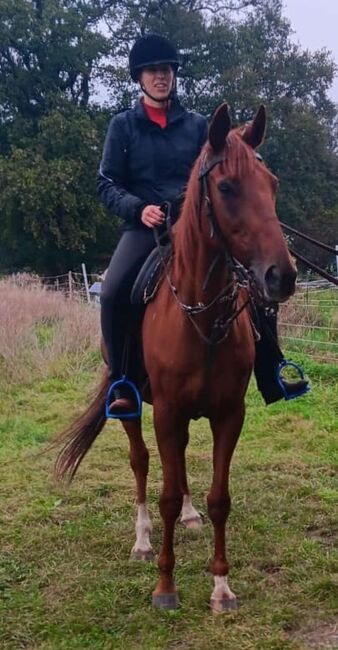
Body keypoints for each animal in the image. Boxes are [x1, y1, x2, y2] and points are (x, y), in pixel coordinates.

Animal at [55, 104, 296, 612]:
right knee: (143, 462)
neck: (200, 317)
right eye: (226, 187)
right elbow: (163, 490)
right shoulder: (165, 412)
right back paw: (144, 541)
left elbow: (219, 496)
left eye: (272, 183)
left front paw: (221, 586)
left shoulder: (228, 414)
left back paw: (188, 517)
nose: (281, 276)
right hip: (131, 405)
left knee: (180, 464)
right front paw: (165, 586)